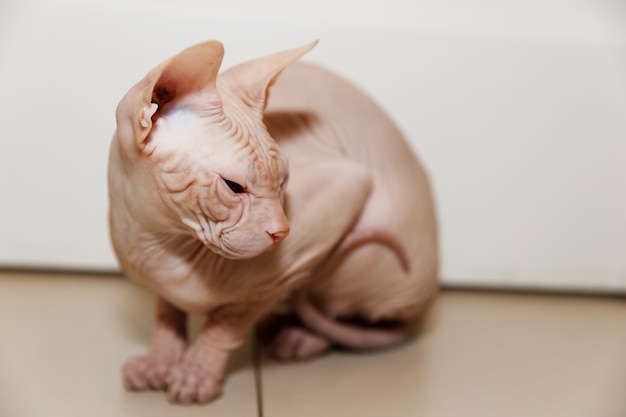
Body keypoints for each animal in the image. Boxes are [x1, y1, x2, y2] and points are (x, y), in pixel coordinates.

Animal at [107, 39, 436, 404]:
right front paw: (161, 361)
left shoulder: (333, 202)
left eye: (284, 181)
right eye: (233, 187)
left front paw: (197, 372)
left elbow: (227, 321)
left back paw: (298, 336)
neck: (156, 244)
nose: (282, 232)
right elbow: (166, 312)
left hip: (364, 250)